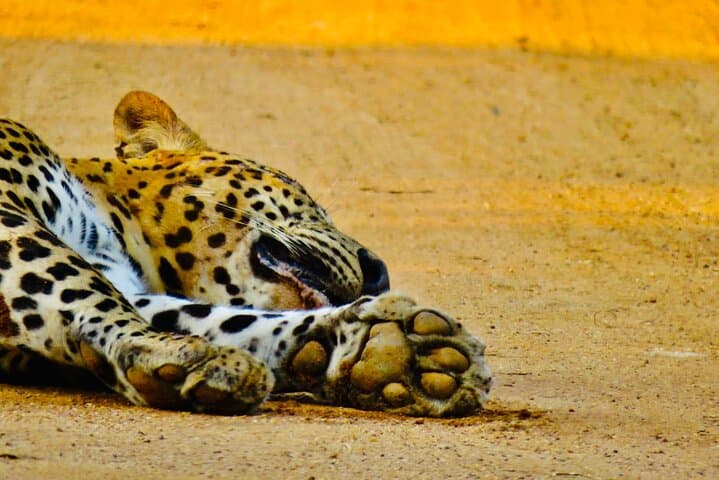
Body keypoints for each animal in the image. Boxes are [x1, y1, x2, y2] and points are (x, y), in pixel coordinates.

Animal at [0, 91, 492, 416]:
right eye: (311, 203)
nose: (380, 272)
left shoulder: (138, 290)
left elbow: (214, 317)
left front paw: (391, 354)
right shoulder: (9, 216)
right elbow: (82, 284)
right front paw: (171, 352)